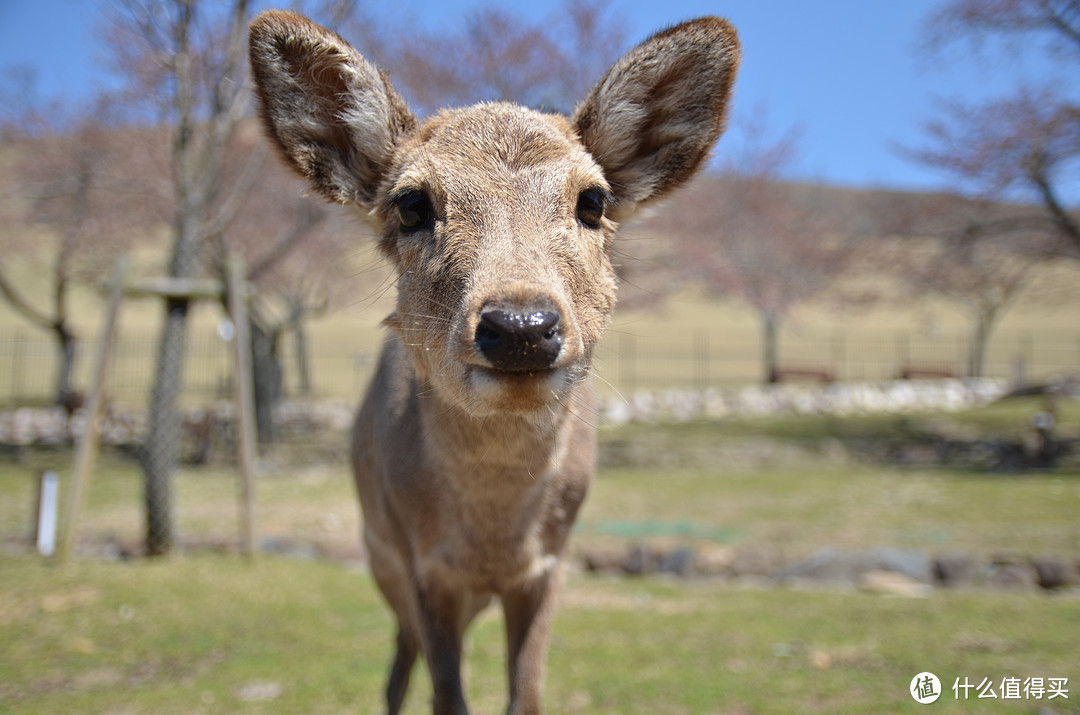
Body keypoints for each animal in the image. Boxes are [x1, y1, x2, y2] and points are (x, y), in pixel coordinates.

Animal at [248, 12, 738, 715]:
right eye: (412, 204)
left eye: (593, 200)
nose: (521, 328)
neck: (492, 543)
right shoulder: (423, 566)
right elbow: (447, 697)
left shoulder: (549, 564)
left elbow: (525, 696)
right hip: (379, 560)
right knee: (399, 666)